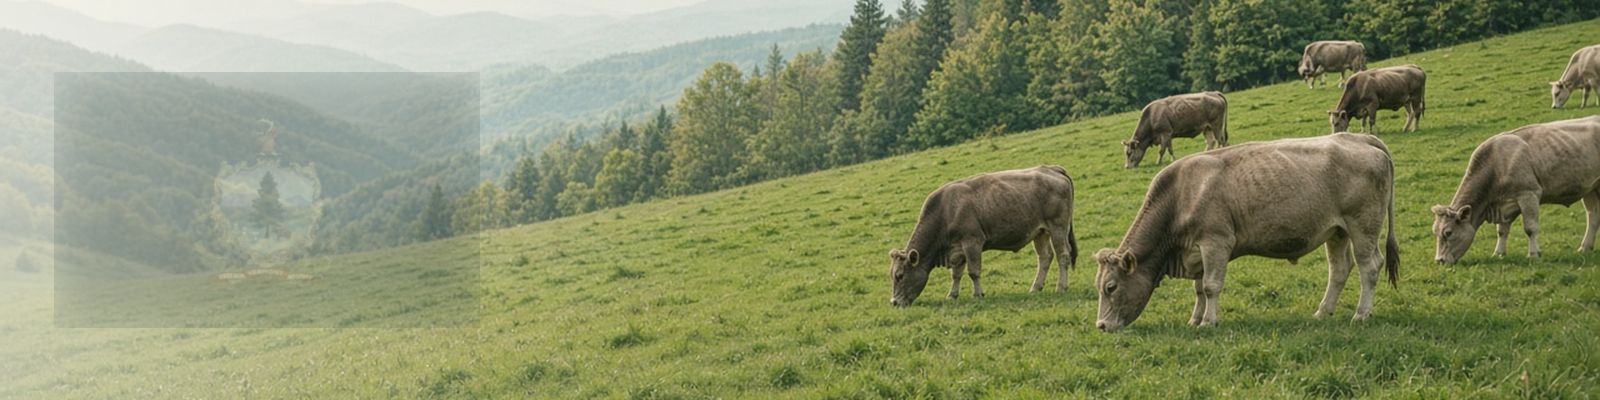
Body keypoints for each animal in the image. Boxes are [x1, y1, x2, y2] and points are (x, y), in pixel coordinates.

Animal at [888, 165, 1078, 307]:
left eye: (900, 275)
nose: (894, 302)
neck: (946, 210)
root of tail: (1051, 168)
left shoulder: (972, 242)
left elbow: (973, 271)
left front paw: (978, 294)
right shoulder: (957, 250)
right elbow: (956, 274)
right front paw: (952, 295)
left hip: (1058, 226)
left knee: (1063, 255)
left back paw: (1061, 287)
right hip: (1040, 232)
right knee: (1045, 257)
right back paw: (1035, 288)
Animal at [1094, 133, 1399, 332]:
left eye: (1111, 287)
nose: (1101, 325)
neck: (1181, 194)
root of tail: (1361, 138)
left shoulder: (1216, 242)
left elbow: (1211, 286)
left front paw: (1208, 322)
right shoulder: (1197, 251)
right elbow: (1199, 289)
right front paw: (1194, 319)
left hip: (1363, 225)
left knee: (1370, 266)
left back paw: (1361, 314)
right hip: (1336, 231)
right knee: (1339, 270)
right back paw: (1323, 312)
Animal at [1431, 116, 1600, 264]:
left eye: (1448, 232)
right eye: (1435, 231)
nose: (1439, 260)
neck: (1497, 164)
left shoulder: (1528, 194)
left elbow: (1530, 228)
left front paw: (1533, 254)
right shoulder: (1505, 205)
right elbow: (1502, 230)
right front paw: (1499, 253)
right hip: (1591, 189)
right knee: (1593, 215)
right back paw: (1585, 247)